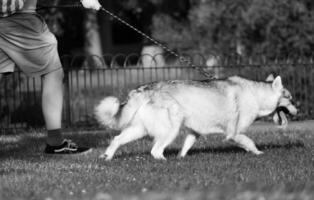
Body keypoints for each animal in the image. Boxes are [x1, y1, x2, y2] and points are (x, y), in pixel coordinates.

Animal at [95, 74, 296, 160]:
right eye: (290, 98)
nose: (298, 110)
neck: (256, 95)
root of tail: (144, 88)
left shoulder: (194, 132)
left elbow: (186, 147)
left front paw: (181, 158)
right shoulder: (234, 134)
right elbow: (250, 142)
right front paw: (258, 153)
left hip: (139, 130)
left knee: (117, 139)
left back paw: (108, 156)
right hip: (171, 129)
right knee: (155, 151)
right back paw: (164, 162)